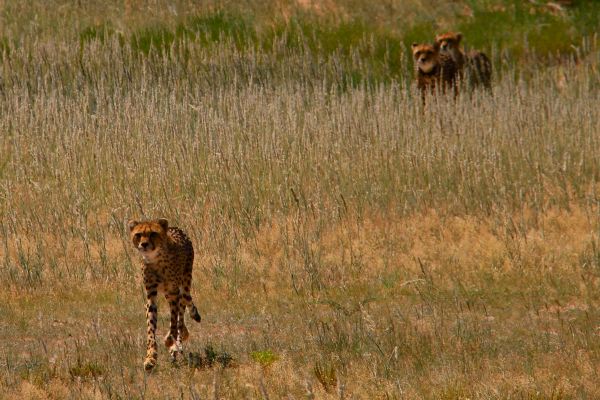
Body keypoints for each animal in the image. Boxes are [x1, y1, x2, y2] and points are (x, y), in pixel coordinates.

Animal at [126, 217, 202, 370]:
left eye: (153, 234)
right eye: (138, 235)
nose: (144, 244)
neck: (155, 258)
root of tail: (174, 227)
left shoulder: (173, 293)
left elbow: (174, 322)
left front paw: (170, 342)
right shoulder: (151, 296)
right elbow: (151, 329)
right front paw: (150, 358)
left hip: (184, 284)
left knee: (182, 313)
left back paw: (178, 342)